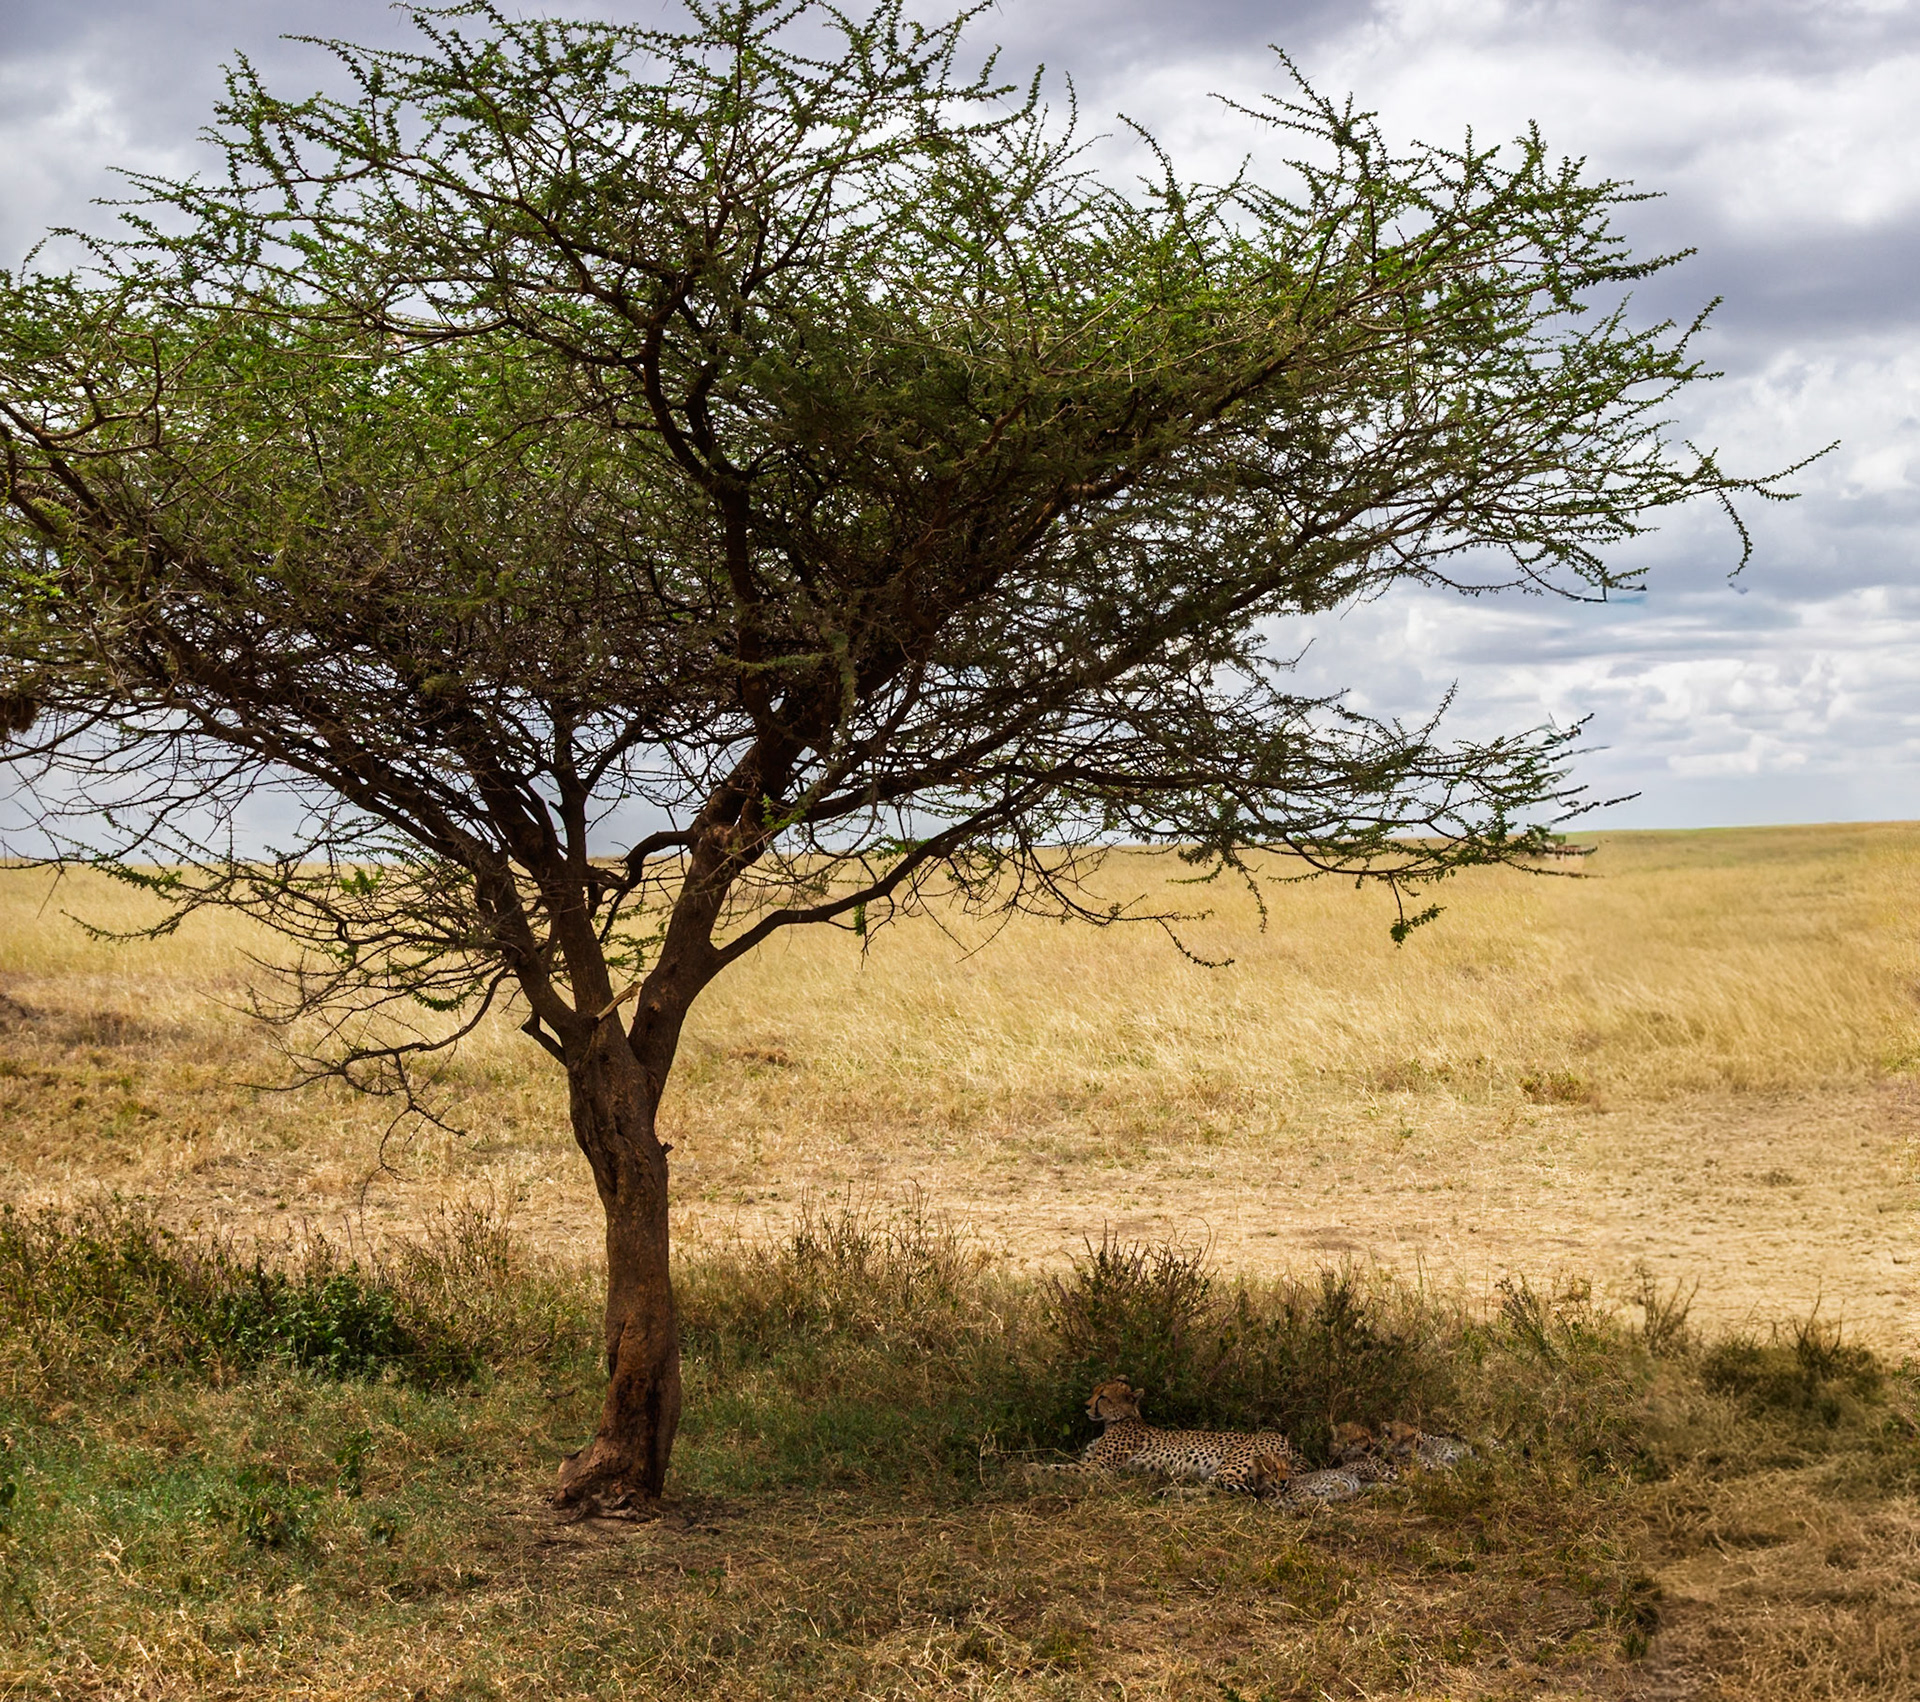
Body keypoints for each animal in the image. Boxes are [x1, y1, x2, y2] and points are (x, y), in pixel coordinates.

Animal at [1081, 1379, 1298, 1494]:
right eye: (1094, 1391)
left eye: (1103, 1397)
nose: (1085, 1406)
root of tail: (1284, 1439)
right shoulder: (1092, 1462)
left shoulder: (1100, 1467)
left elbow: (1072, 1469)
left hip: (1231, 1466)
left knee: (1213, 1491)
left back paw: (1167, 1493)